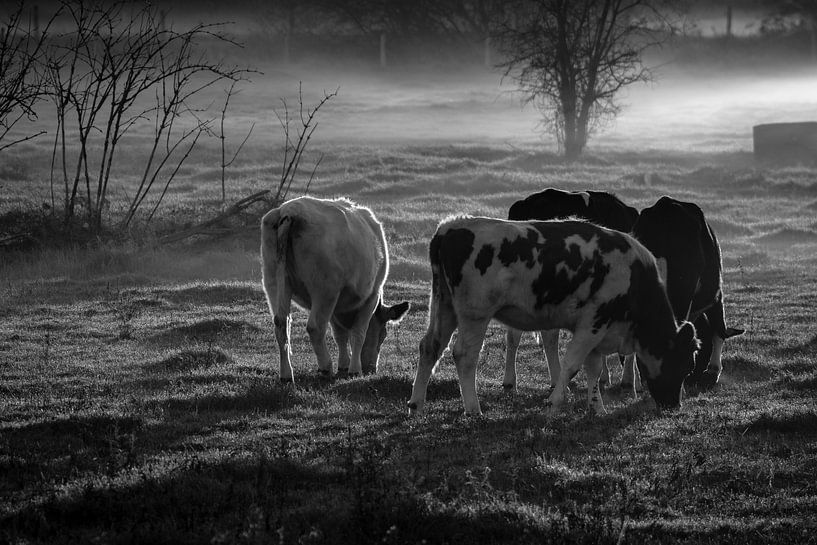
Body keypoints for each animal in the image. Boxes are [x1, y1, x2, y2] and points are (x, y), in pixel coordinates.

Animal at [261, 196, 410, 383]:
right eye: (383, 335)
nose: (371, 369)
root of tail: (289, 211)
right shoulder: (371, 296)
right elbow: (358, 333)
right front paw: (354, 369)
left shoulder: (336, 303)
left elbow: (340, 335)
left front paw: (344, 365)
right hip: (324, 289)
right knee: (315, 327)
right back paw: (325, 367)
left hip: (274, 283)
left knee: (281, 324)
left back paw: (286, 374)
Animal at [407, 216, 700, 416]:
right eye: (685, 365)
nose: (675, 405)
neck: (634, 277)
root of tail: (451, 226)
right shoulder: (594, 322)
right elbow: (571, 365)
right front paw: (555, 401)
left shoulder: (596, 329)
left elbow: (593, 369)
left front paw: (597, 408)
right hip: (475, 315)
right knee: (465, 355)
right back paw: (473, 408)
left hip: (444, 305)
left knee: (430, 347)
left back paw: (417, 403)